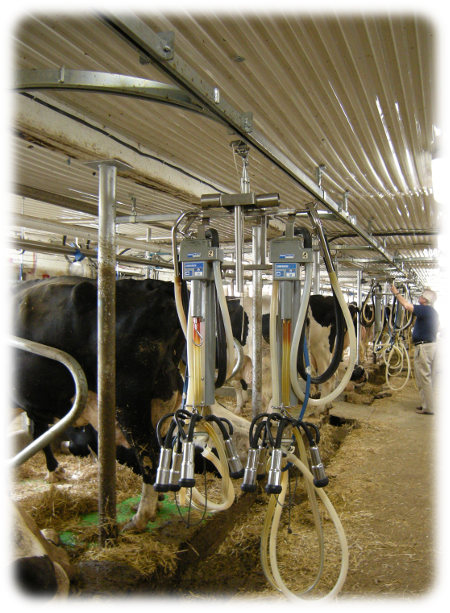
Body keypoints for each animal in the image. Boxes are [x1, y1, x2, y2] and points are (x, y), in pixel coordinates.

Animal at [11, 274, 185, 528]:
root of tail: (156, 285)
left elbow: (38, 434)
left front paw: (54, 471)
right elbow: (39, 432)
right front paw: (54, 471)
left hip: (129, 405)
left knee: (149, 458)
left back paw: (140, 517)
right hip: (163, 401)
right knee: (162, 452)